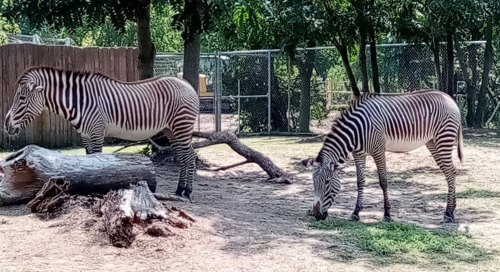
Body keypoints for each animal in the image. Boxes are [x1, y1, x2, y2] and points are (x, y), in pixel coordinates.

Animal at [4, 65, 199, 198]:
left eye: (22, 98)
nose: (6, 125)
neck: (79, 101)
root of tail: (187, 83)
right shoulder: (85, 136)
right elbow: (89, 161)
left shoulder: (96, 132)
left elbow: (97, 162)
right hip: (171, 130)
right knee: (183, 156)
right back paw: (179, 189)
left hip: (181, 127)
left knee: (189, 156)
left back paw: (188, 191)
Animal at [304, 89, 464, 223]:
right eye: (313, 182)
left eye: (327, 182)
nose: (316, 215)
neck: (356, 131)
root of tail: (448, 97)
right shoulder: (358, 154)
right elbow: (360, 182)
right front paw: (355, 213)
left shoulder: (378, 151)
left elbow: (383, 182)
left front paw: (387, 214)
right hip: (433, 143)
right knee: (449, 172)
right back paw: (451, 210)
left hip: (444, 139)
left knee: (451, 172)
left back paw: (448, 213)